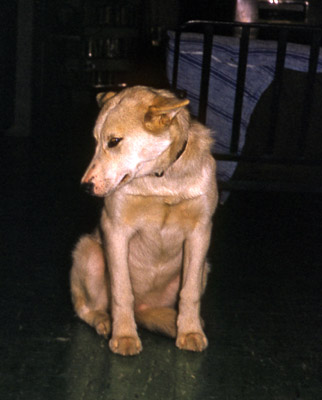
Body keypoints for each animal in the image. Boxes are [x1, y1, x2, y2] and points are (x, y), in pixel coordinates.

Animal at [70, 86, 216, 354]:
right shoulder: (115, 230)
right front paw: (125, 336)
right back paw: (104, 320)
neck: (162, 179)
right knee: (85, 308)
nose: (85, 187)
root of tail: (142, 310)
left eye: (114, 141)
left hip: (204, 269)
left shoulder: (200, 232)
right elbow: (121, 292)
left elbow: (189, 293)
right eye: (95, 141)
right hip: (88, 252)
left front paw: (190, 332)